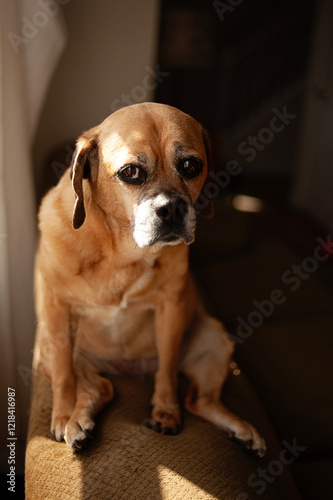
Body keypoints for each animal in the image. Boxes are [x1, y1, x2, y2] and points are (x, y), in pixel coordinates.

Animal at [34, 102, 264, 458]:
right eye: (131, 171)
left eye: (191, 165)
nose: (171, 210)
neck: (121, 252)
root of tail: (127, 368)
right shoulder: (56, 311)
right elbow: (62, 376)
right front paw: (61, 416)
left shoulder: (170, 310)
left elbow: (167, 369)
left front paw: (166, 413)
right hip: (50, 341)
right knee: (99, 387)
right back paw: (79, 423)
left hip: (214, 336)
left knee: (199, 401)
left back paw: (241, 430)